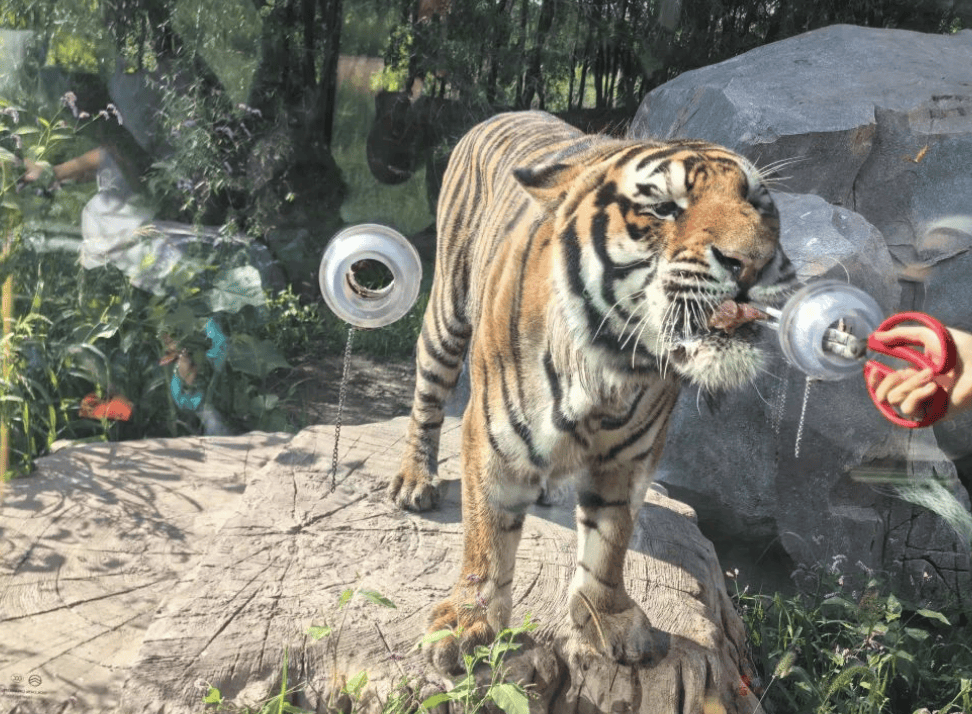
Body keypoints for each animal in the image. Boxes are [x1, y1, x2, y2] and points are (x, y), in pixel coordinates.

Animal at [388, 108, 796, 672]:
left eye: (758, 203)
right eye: (665, 208)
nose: (754, 263)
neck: (612, 366)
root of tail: (505, 112)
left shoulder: (631, 457)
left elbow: (610, 538)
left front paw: (609, 617)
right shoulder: (488, 436)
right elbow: (485, 536)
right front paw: (468, 623)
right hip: (446, 314)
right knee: (426, 399)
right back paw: (414, 480)